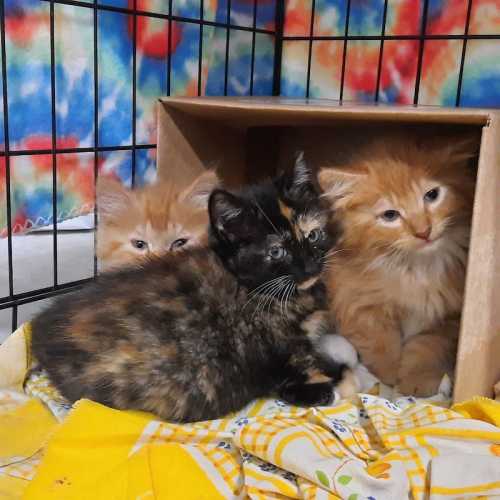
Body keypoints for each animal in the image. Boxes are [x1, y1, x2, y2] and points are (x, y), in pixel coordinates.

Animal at [31, 152, 348, 422]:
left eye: (313, 235)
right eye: (276, 252)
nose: (311, 267)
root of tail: (41, 330)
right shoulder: (270, 344)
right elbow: (291, 366)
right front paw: (322, 385)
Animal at [318, 139, 474, 396]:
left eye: (432, 195)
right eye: (390, 215)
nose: (423, 232)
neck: (415, 268)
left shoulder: (447, 319)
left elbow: (426, 349)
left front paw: (416, 383)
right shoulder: (359, 302)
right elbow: (380, 344)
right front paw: (388, 379)